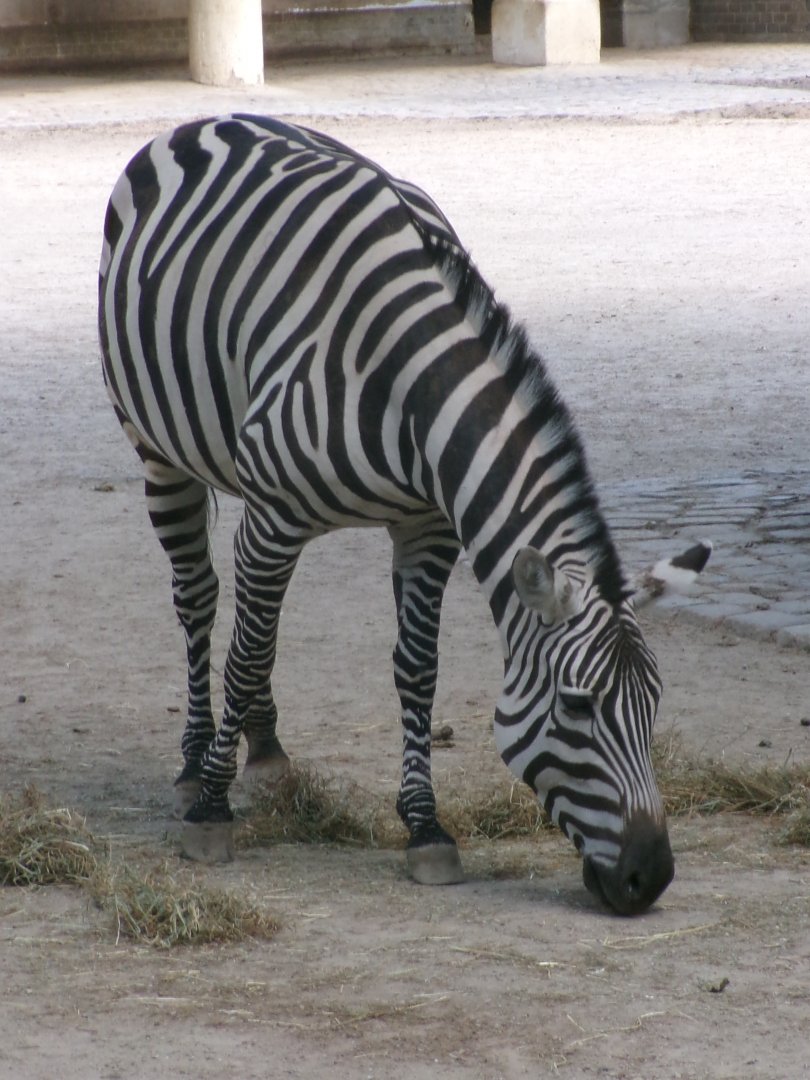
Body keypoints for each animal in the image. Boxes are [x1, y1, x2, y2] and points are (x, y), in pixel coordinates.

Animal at [98, 114, 710, 916]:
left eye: (655, 703)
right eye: (578, 707)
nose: (651, 877)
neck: (407, 386)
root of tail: (214, 119)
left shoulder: (427, 528)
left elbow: (416, 668)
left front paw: (425, 826)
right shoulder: (274, 516)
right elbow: (246, 653)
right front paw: (210, 811)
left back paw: (263, 745)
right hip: (158, 450)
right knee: (201, 603)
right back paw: (197, 761)